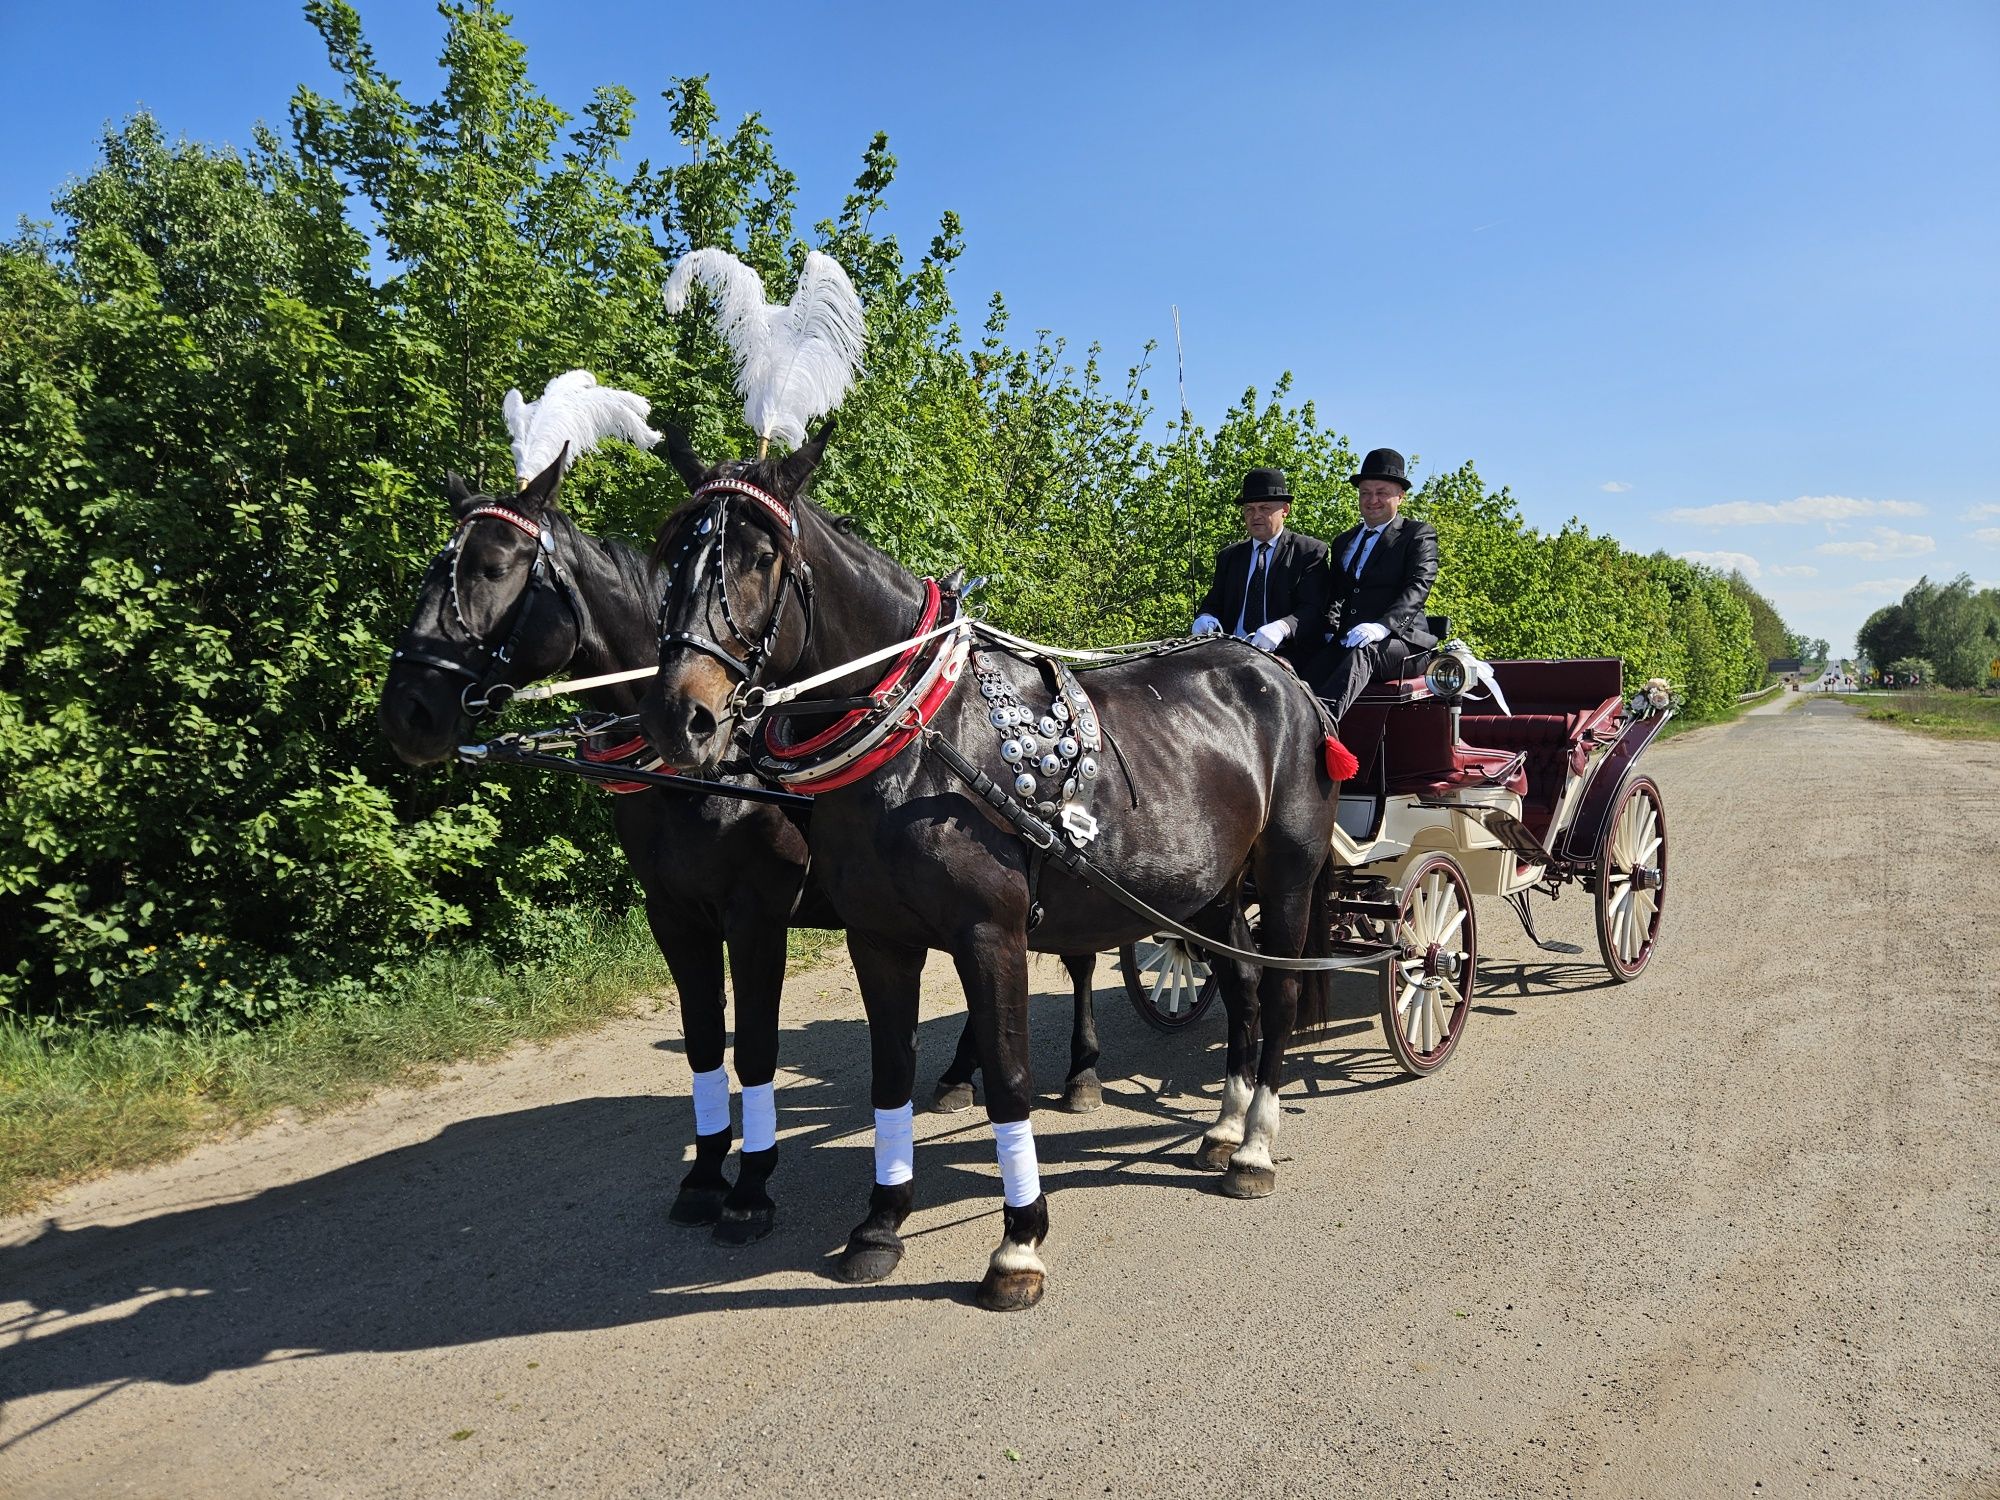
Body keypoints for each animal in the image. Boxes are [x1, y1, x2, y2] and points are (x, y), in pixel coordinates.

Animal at [380, 458, 1104, 1248]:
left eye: (493, 569)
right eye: (431, 571)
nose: (406, 711)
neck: (708, 773)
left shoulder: (755, 914)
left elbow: (755, 1045)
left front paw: (751, 1187)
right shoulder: (674, 915)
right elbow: (703, 1043)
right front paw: (703, 1175)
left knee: (1081, 958)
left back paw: (1081, 1073)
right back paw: (955, 1076)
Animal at [636, 428, 1328, 1312]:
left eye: (760, 557)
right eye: (673, 557)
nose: (678, 717)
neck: (922, 751)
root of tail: (1278, 674)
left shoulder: (988, 935)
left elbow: (1007, 1076)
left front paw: (1019, 1244)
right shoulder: (878, 939)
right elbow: (890, 1074)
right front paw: (881, 1223)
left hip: (1287, 871)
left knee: (1276, 991)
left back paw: (1255, 1147)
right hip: (1202, 889)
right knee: (1238, 982)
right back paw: (1223, 1128)